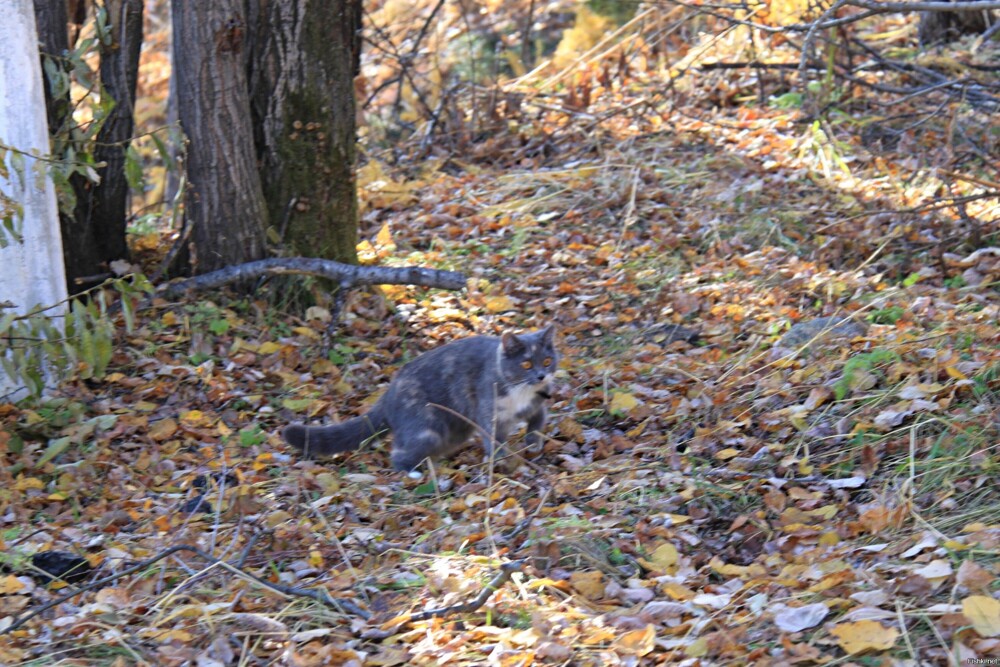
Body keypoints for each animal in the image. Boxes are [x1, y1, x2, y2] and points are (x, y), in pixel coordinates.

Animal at [282, 326, 560, 472]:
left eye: (547, 360)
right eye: (526, 364)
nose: (541, 375)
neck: (521, 392)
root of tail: (389, 393)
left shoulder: (537, 403)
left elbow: (538, 420)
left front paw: (533, 442)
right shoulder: (489, 407)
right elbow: (493, 438)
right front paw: (500, 461)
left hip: (456, 427)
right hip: (427, 424)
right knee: (400, 452)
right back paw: (415, 472)